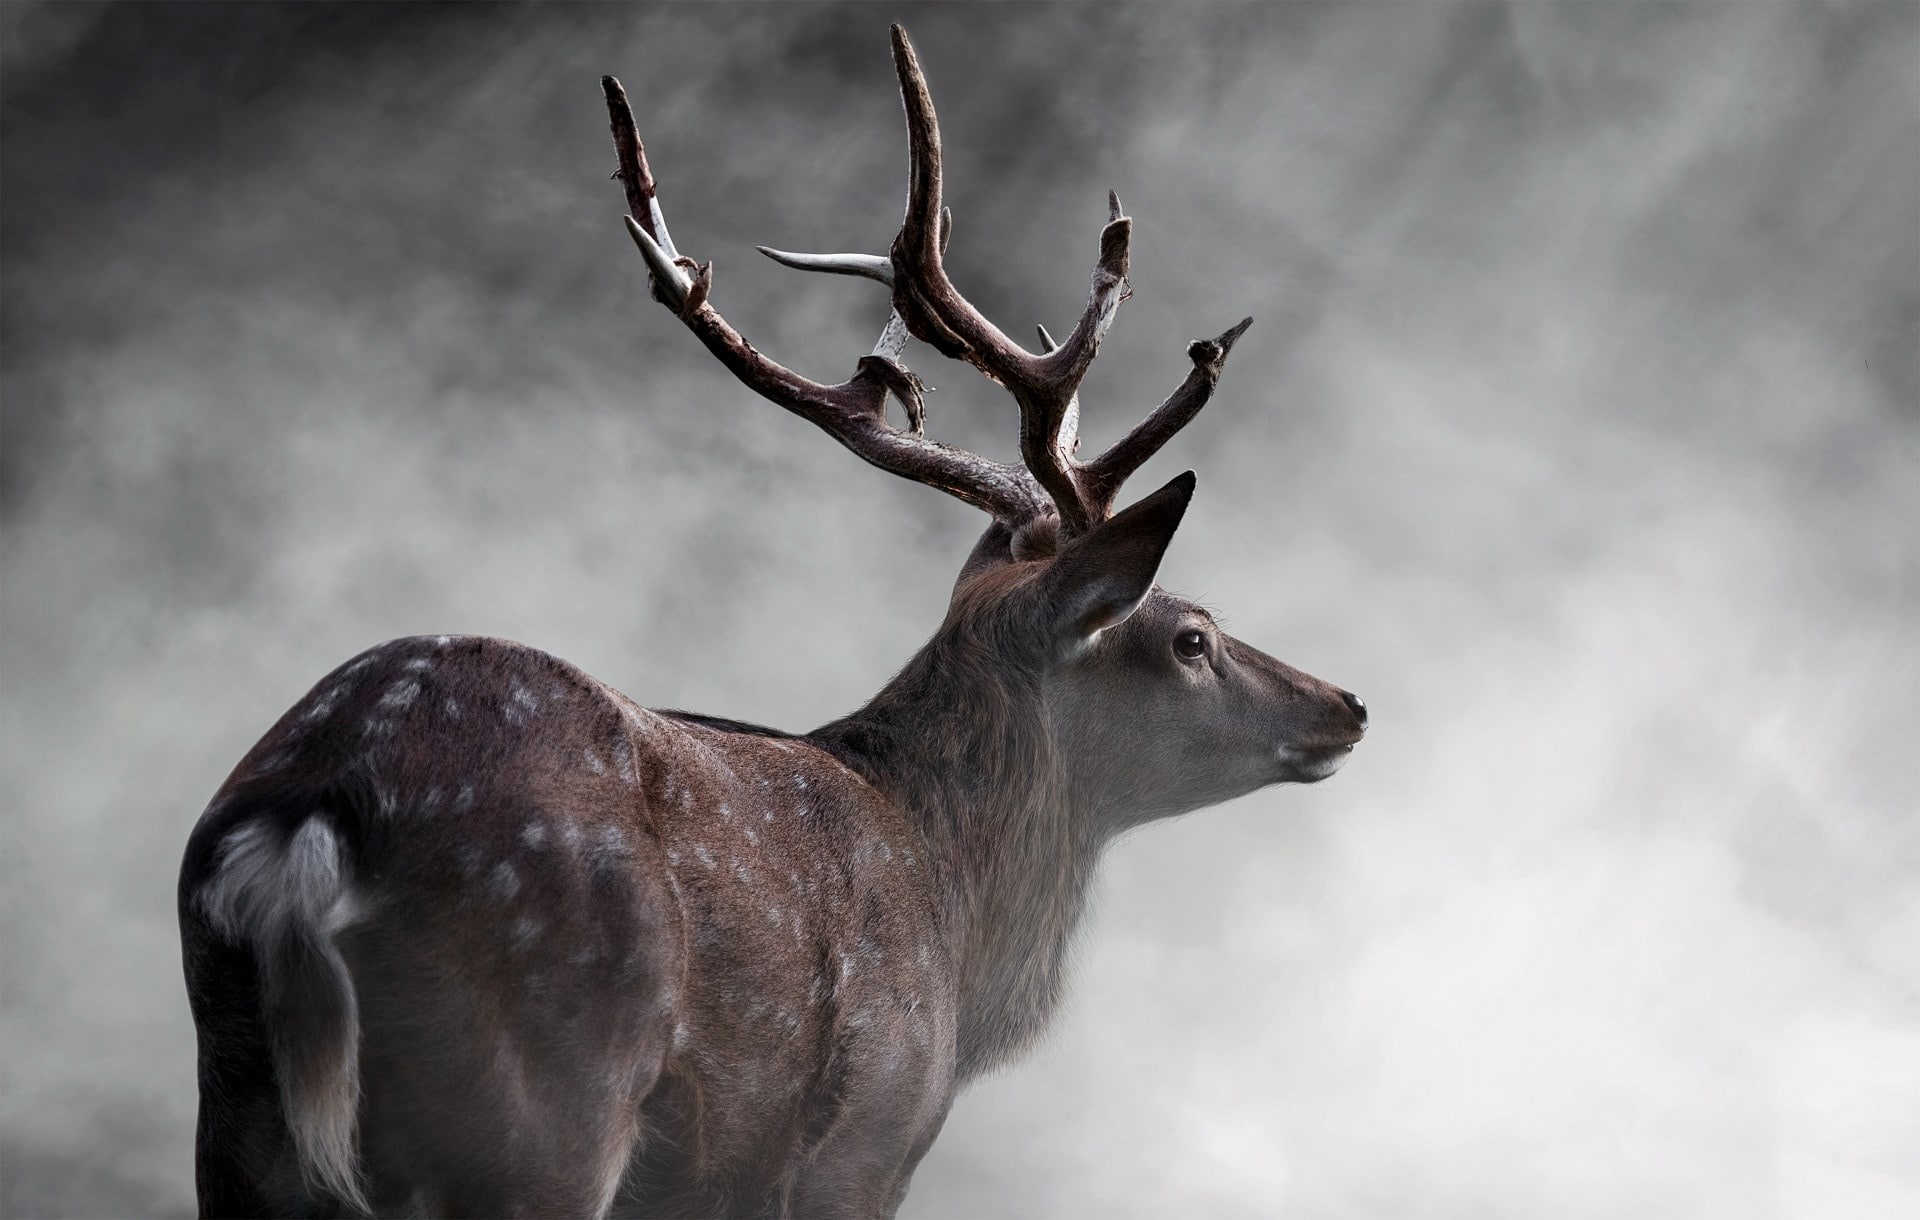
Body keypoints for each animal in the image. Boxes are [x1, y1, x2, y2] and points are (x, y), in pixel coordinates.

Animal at [177, 24, 1367, 1220]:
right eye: (1192, 636)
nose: (1346, 704)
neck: (957, 925)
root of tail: (317, 804)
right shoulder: (867, 1136)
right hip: (538, 1089)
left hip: (239, 1113)